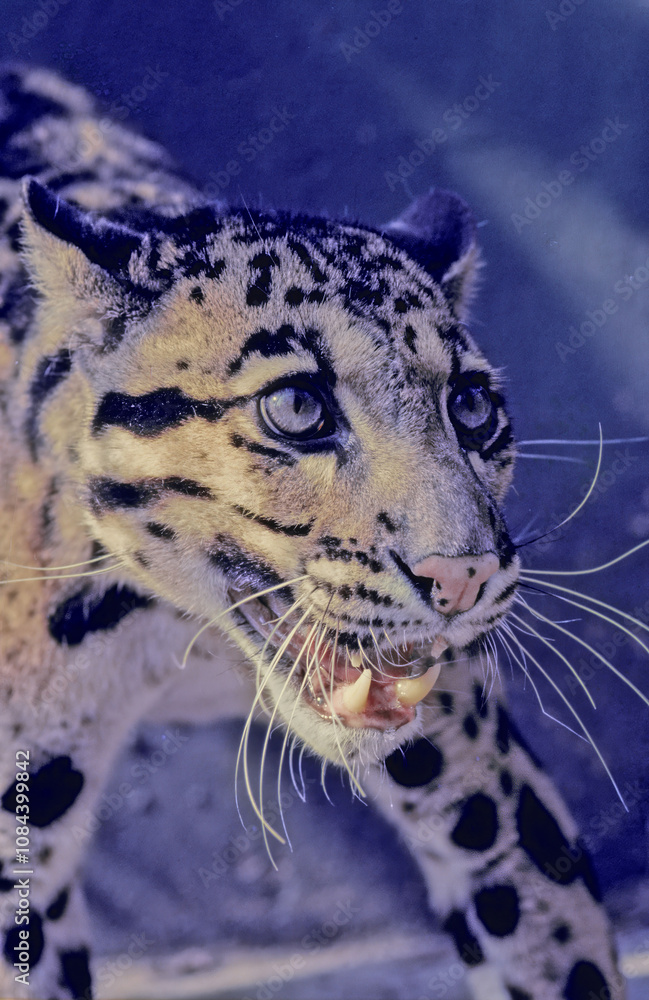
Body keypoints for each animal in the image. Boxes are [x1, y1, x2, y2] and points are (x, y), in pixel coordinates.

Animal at [0, 64, 629, 1000]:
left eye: (471, 406)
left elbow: (547, 937)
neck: (168, 634)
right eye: (298, 406)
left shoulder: (470, 773)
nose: (463, 577)